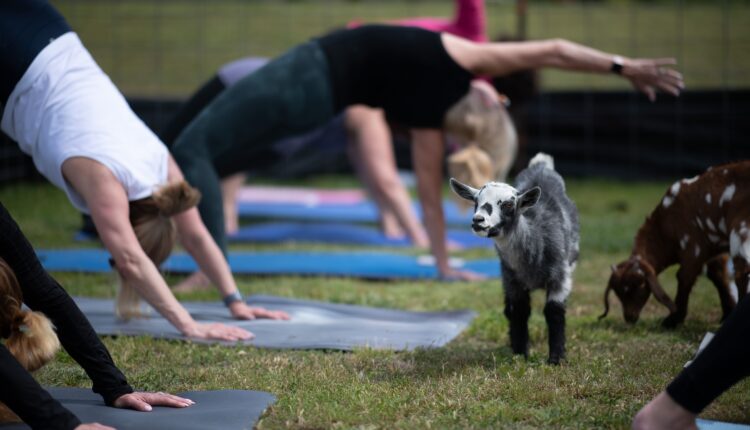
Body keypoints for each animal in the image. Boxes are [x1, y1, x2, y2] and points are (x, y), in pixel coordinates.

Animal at [450, 153, 580, 364]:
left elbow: (554, 312)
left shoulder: (560, 277)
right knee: (508, 310)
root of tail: (541, 164)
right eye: (476, 202)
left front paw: (556, 359)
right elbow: (519, 311)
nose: (478, 220)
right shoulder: (512, 280)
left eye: (508, 204)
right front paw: (520, 354)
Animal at [604, 160, 750, 326]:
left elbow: (683, 277)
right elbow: (718, 275)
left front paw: (672, 320)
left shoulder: (692, 246)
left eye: (639, 285)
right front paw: (727, 313)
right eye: (618, 292)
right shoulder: (712, 249)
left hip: (740, 230)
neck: (664, 225)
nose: (629, 318)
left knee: (742, 271)